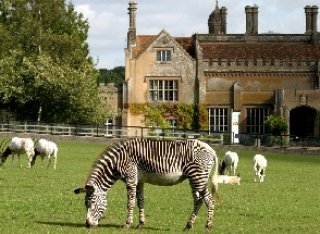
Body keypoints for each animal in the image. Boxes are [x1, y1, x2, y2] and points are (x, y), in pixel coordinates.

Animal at [74, 137, 220, 230]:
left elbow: (130, 203)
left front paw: (127, 224)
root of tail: (210, 149)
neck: (118, 160)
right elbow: (140, 202)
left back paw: (208, 226)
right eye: (85, 204)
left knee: (209, 200)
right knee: (198, 200)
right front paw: (141, 224)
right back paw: (188, 225)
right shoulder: (139, 181)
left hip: (198, 176)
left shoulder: (131, 179)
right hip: (193, 178)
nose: (87, 225)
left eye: (91, 203)